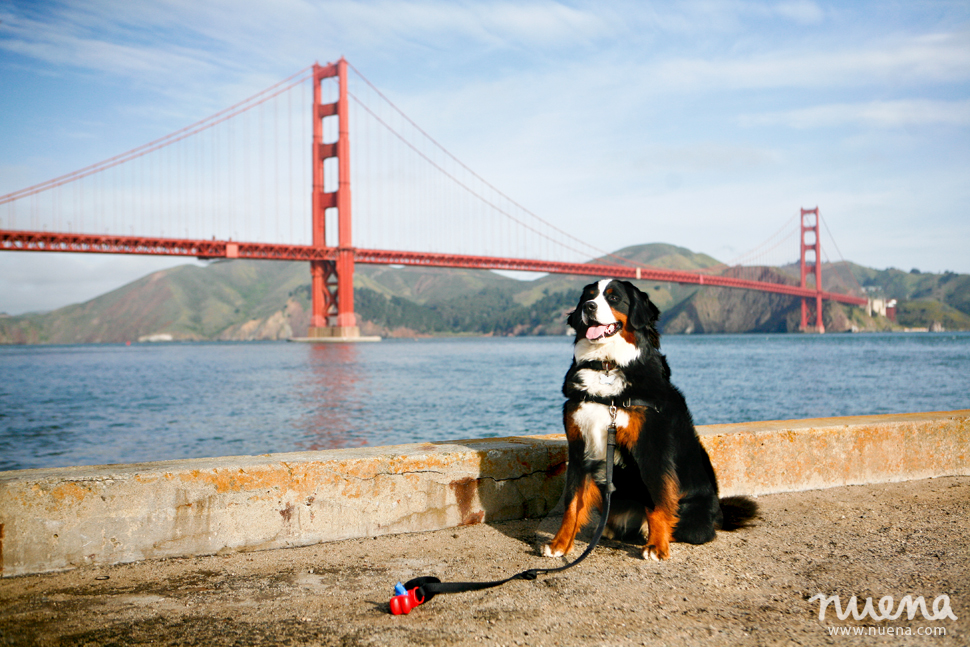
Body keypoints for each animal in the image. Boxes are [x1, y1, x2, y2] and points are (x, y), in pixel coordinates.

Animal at [536, 278, 756, 560]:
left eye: (613, 298)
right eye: (588, 296)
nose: (588, 307)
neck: (606, 366)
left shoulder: (652, 447)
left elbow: (657, 498)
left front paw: (657, 545)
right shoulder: (579, 447)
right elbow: (573, 502)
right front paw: (560, 544)